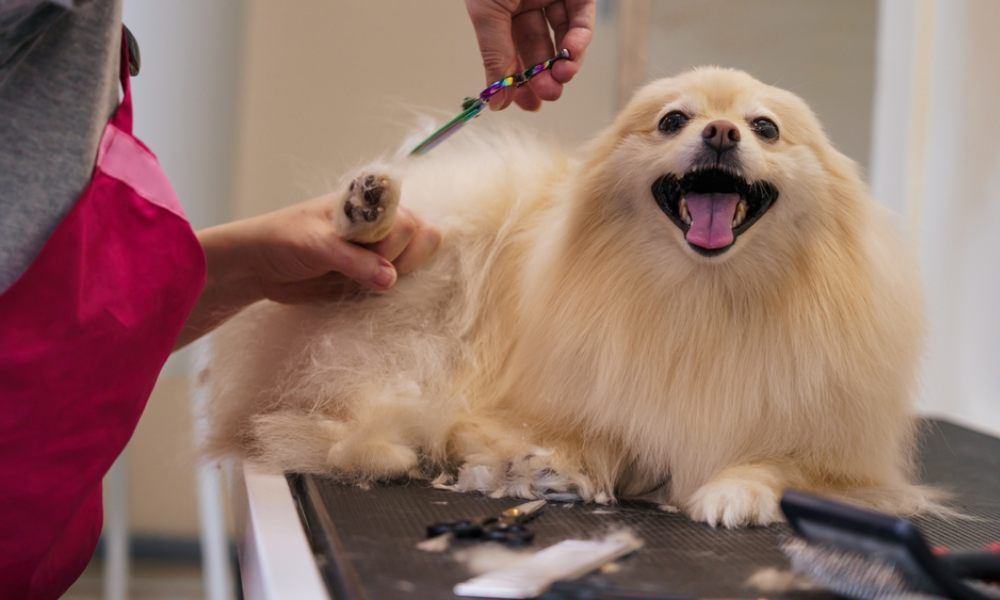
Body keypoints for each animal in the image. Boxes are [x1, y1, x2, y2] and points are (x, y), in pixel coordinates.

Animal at [207, 67, 932, 524]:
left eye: (766, 128)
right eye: (673, 120)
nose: (722, 133)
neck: (703, 299)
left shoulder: (851, 469)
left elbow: (781, 467)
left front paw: (737, 491)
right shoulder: (519, 408)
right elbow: (589, 437)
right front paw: (559, 467)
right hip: (418, 271)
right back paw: (368, 208)